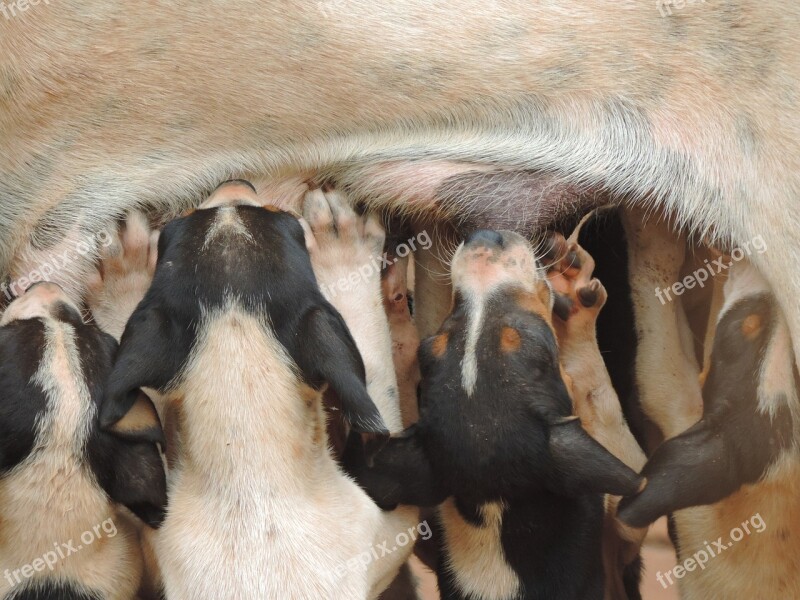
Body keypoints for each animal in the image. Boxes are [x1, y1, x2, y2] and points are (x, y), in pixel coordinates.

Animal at [96, 185, 412, 596]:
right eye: (289, 220)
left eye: (179, 222)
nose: (235, 184)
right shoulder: (395, 526)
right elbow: (375, 362)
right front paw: (343, 250)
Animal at [346, 229, 644, 600]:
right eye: (542, 346)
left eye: (432, 346)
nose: (486, 237)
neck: (497, 507)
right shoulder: (623, 504)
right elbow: (597, 395)